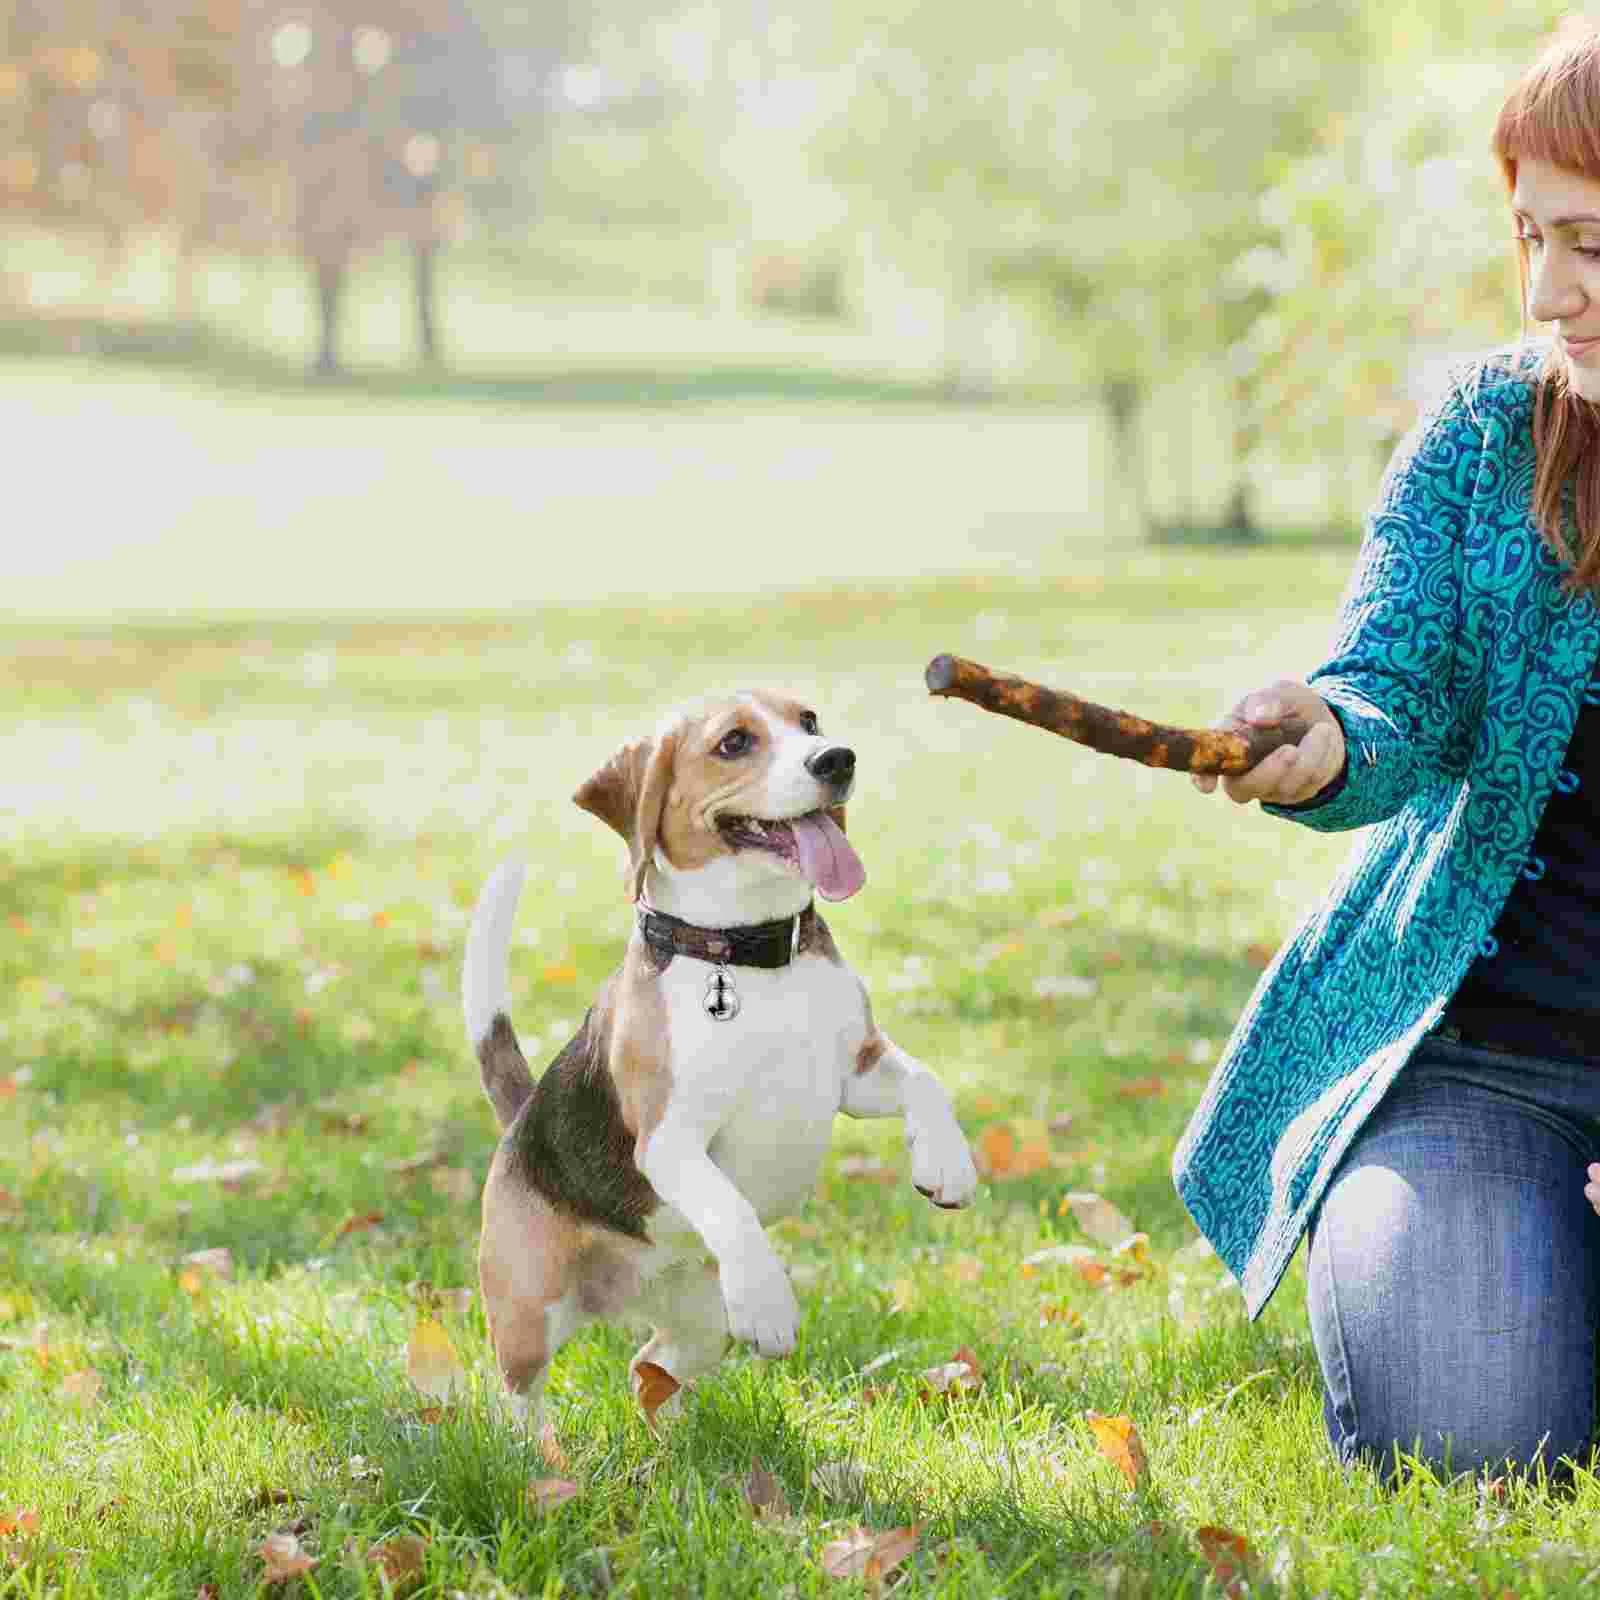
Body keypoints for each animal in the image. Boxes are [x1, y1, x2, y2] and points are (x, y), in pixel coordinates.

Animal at [460, 688, 972, 1427]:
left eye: (809, 722)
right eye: (734, 743)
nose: (837, 758)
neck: (746, 951)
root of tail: (522, 1116)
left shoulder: (855, 1072)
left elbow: (927, 1083)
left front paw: (948, 1166)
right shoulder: (669, 1140)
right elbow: (729, 1206)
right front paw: (769, 1302)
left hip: (702, 1323)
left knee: (647, 1368)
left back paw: (673, 1436)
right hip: (528, 1315)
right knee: (520, 1396)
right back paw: (539, 1452)